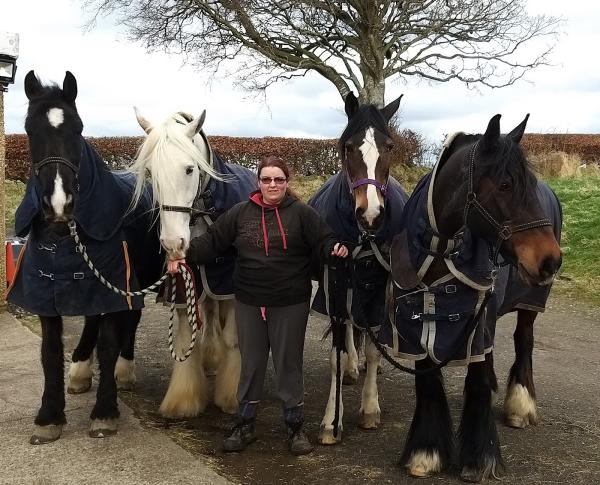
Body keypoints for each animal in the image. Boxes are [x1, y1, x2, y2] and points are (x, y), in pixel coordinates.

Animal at [7, 70, 162, 444]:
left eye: (78, 129)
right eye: (29, 130)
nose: (59, 204)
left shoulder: (116, 280)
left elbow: (108, 345)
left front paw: (105, 412)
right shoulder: (47, 292)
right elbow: (49, 352)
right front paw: (49, 416)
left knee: (131, 320)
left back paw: (124, 371)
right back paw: (79, 370)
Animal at [129, 108, 255, 416]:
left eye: (189, 169)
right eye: (151, 173)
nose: (173, 243)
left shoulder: (228, 282)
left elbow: (233, 338)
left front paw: (232, 396)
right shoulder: (186, 280)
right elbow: (187, 338)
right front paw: (183, 399)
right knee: (208, 315)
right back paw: (210, 358)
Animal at [392, 113, 564, 480]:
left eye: (527, 184)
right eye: (505, 185)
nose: (550, 260)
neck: (442, 247)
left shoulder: (474, 316)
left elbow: (478, 382)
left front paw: (479, 458)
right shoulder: (424, 317)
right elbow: (428, 380)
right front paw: (426, 452)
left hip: (529, 301)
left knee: (523, 340)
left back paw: (520, 403)